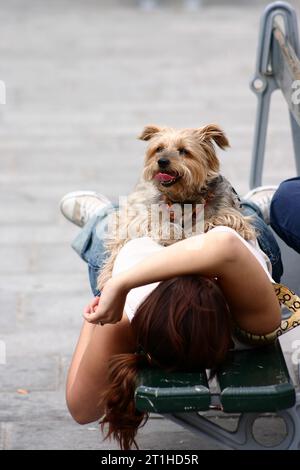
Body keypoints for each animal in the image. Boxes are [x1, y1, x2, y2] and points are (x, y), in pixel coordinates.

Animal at [98, 123, 255, 288]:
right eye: (159, 148)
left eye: (184, 151)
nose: (162, 161)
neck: (182, 198)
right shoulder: (145, 217)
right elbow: (157, 225)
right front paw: (172, 233)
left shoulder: (229, 212)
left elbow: (223, 220)